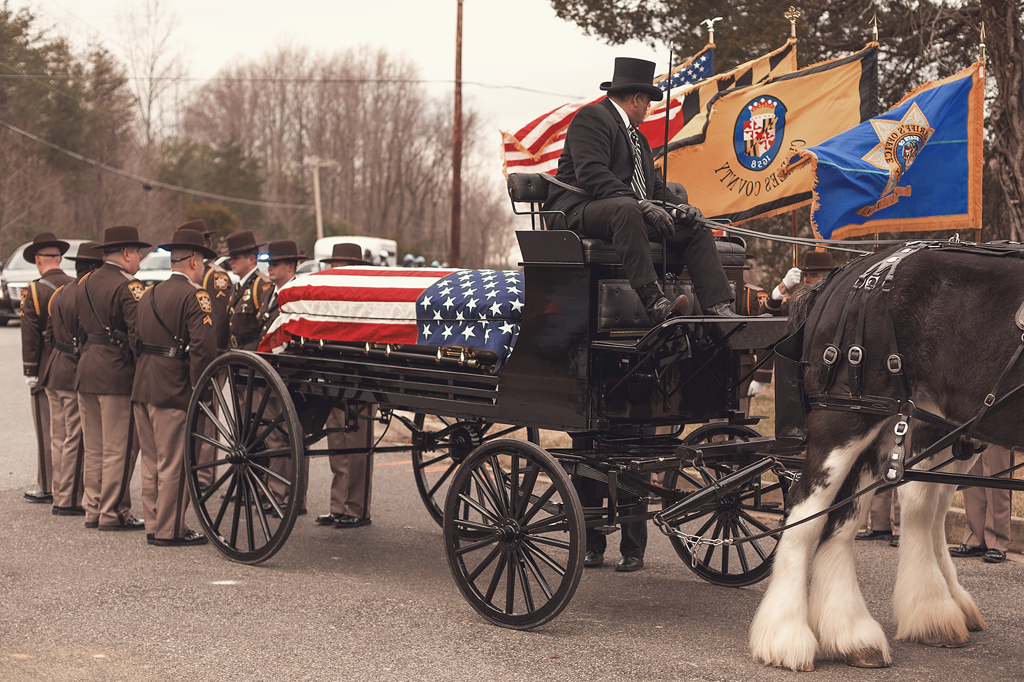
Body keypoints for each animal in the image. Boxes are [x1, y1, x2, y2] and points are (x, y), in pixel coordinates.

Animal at [745, 238, 1024, 667]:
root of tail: (848, 274)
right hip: (846, 419)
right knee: (806, 512)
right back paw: (785, 633)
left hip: (893, 421)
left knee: (851, 518)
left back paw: (855, 632)